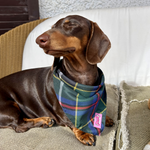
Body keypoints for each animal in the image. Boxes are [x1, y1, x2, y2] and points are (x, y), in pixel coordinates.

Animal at [0, 15, 112, 145]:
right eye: (53, 26)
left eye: (71, 24)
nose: (39, 40)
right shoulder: (61, 111)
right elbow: (73, 121)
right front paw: (84, 133)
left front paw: (106, 118)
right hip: (9, 106)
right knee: (20, 125)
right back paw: (45, 120)